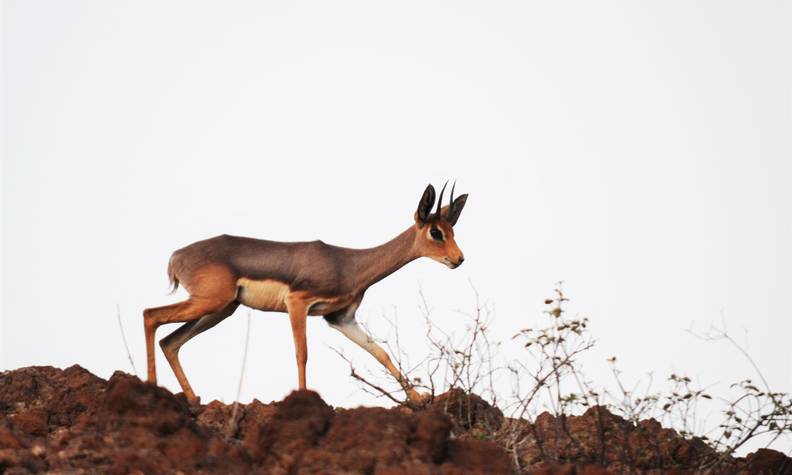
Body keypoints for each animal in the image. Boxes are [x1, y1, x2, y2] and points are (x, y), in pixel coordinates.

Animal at [144, 181, 464, 402]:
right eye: (436, 232)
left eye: (452, 230)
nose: (459, 259)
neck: (347, 264)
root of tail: (176, 256)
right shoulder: (298, 302)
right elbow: (302, 353)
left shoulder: (341, 319)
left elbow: (381, 353)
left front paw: (420, 399)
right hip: (210, 303)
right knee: (151, 315)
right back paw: (152, 387)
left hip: (220, 309)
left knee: (170, 341)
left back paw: (192, 398)